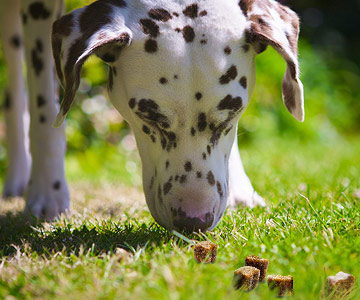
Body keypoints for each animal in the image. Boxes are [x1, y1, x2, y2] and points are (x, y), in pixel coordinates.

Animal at [0, 0, 304, 232]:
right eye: (150, 119)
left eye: (230, 117)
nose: (194, 220)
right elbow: (45, 111)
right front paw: (47, 194)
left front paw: (240, 188)